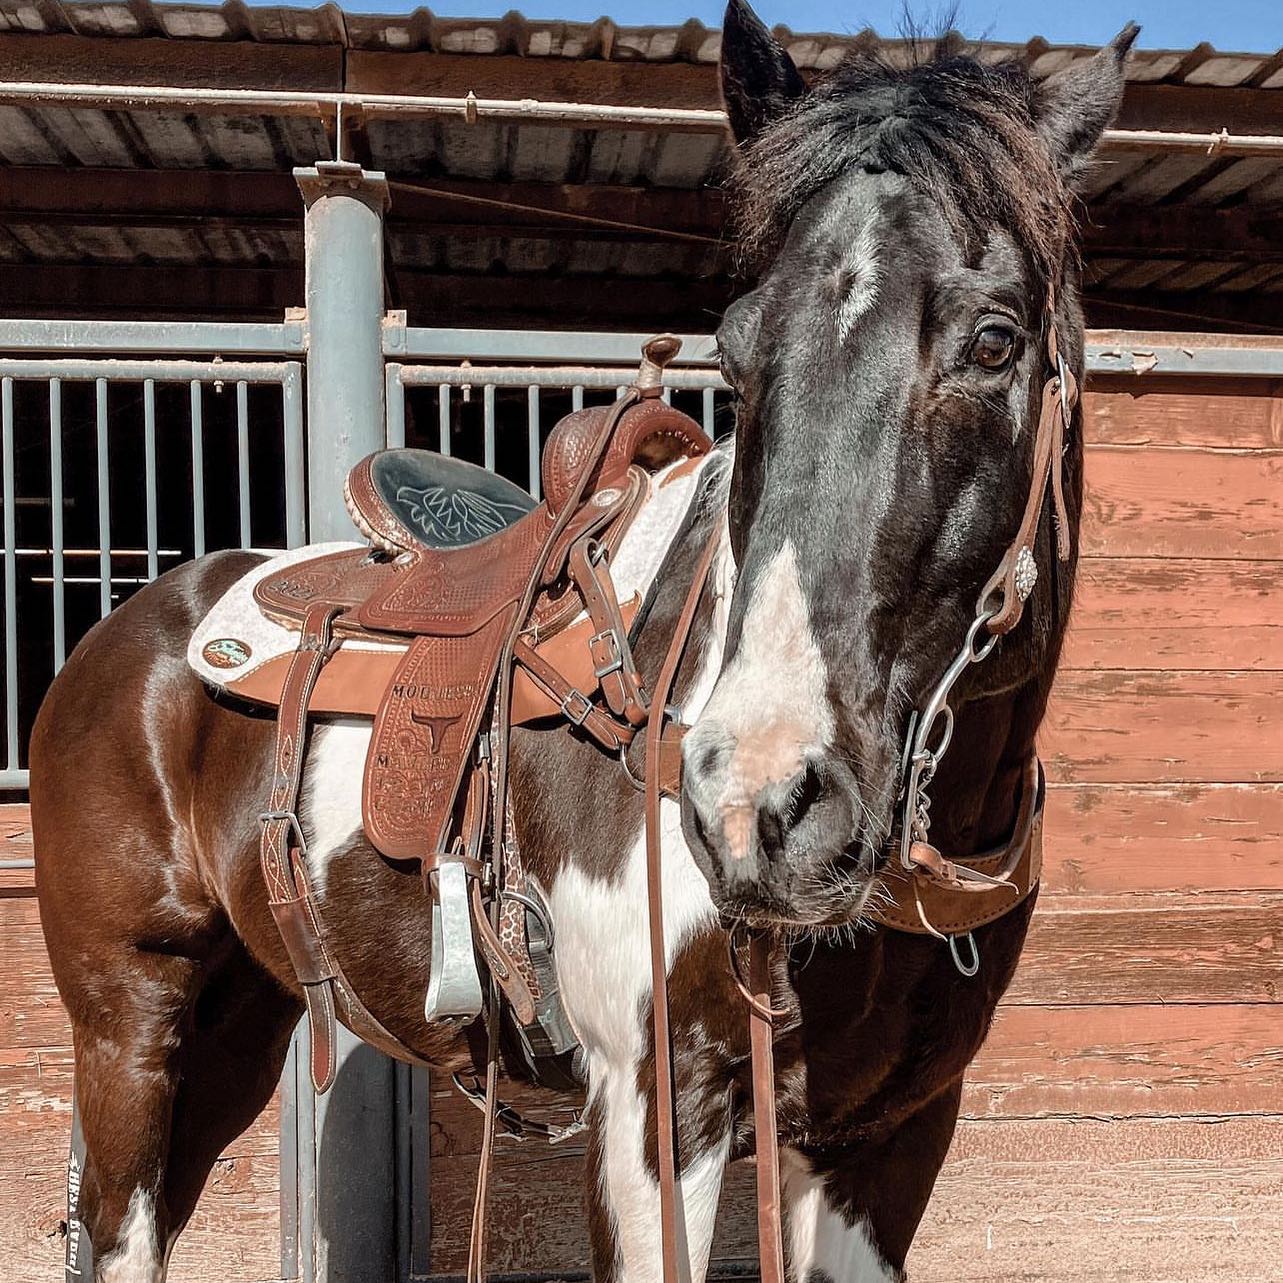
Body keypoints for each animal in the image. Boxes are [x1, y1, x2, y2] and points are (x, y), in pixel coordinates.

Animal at [30, 4, 1136, 1279]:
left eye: (994, 342)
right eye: (734, 349)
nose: (757, 803)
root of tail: (129, 631)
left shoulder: (888, 1129)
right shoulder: (655, 1107)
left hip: (237, 1023)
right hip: (129, 1021)